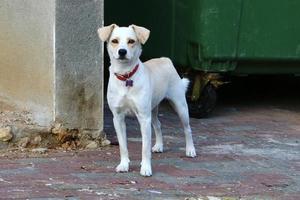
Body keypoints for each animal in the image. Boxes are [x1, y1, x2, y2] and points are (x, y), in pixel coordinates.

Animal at [98, 24, 197, 176]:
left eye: (131, 41)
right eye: (114, 41)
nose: (122, 51)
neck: (126, 76)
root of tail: (165, 59)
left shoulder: (144, 118)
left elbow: (144, 148)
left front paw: (145, 168)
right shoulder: (118, 118)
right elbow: (123, 146)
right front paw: (124, 165)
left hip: (180, 107)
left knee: (187, 129)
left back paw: (190, 150)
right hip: (153, 110)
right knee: (158, 125)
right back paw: (159, 146)